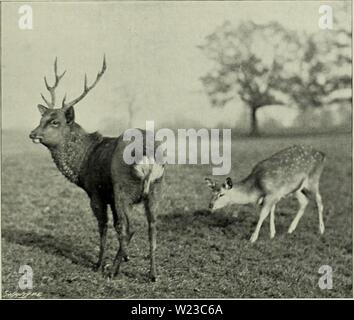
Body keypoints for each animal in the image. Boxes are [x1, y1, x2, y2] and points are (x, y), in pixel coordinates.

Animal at [29, 57, 165, 280]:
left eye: (55, 121)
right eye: (41, 119)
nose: (32, 134)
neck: (83, 163)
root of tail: (147, 153)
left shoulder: (96, 192)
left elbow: (104, 226)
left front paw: (100, 264)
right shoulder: (108, 196)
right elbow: (116, 226)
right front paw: (125, 258)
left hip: (123, 189)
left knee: (130, 228)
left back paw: (113, 270)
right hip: (156, 190)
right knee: (152, 226)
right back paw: (152, 274)